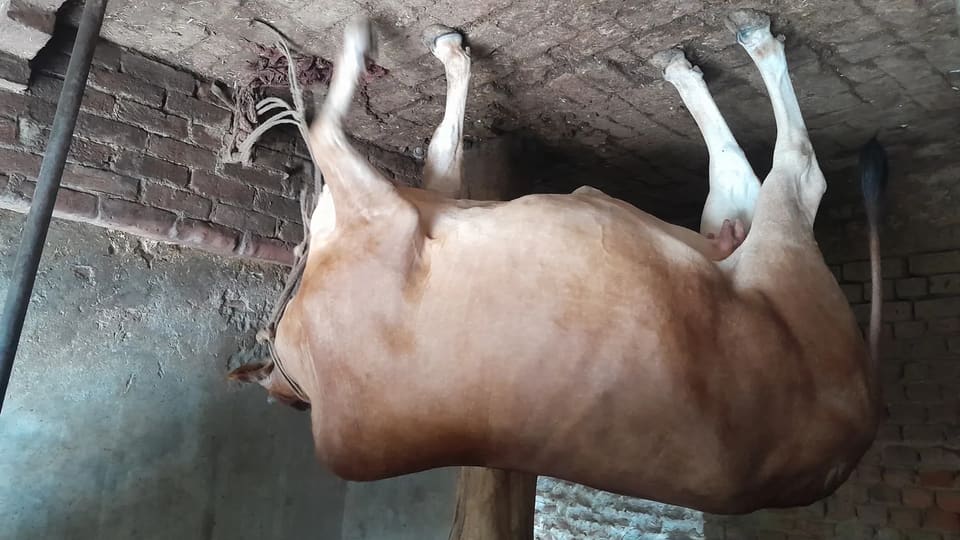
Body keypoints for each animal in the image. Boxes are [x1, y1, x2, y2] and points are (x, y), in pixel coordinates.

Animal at [229, 9, 885, 514]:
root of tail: (862, 422)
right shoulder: (392, 215)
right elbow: (334, 128)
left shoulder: (418, 203)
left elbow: (408, 140)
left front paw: (414, 50)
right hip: (770, 249)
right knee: (791, 169)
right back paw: (735, 46)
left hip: (754, 240)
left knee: (775, 167)